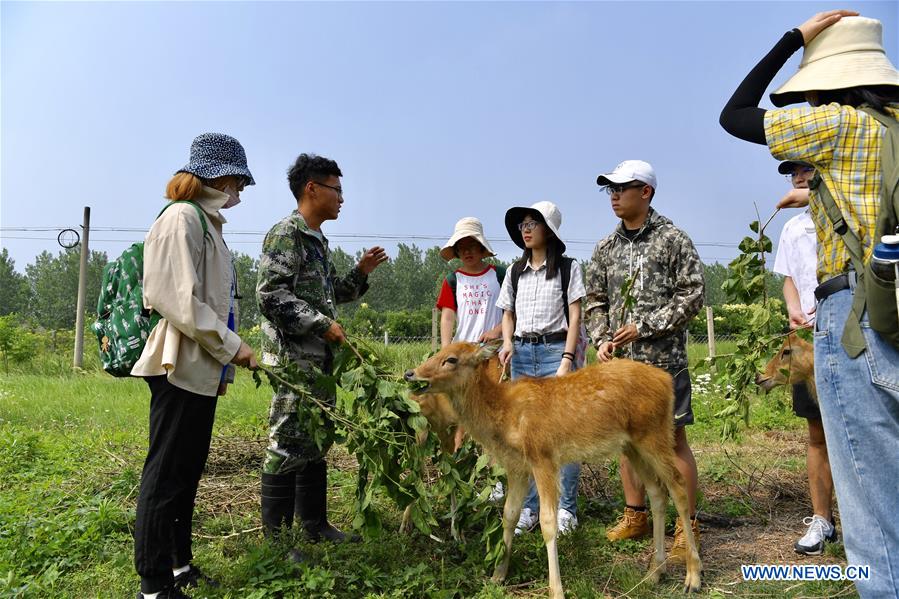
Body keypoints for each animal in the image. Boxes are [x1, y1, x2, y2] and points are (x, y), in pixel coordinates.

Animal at [406, 344, 704, 596]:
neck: (505, 418)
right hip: (632, 445)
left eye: (451, 359)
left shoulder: (544, 457)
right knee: (657, 492)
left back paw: (693, 576)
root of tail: (666, 382)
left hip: (655, 433)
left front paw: (556, 590)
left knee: (678, 486)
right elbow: (509, 514)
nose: (411, 373)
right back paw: (655, 572)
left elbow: (548, 522)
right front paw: (497, 575)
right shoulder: (517, 466)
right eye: (439, 351)